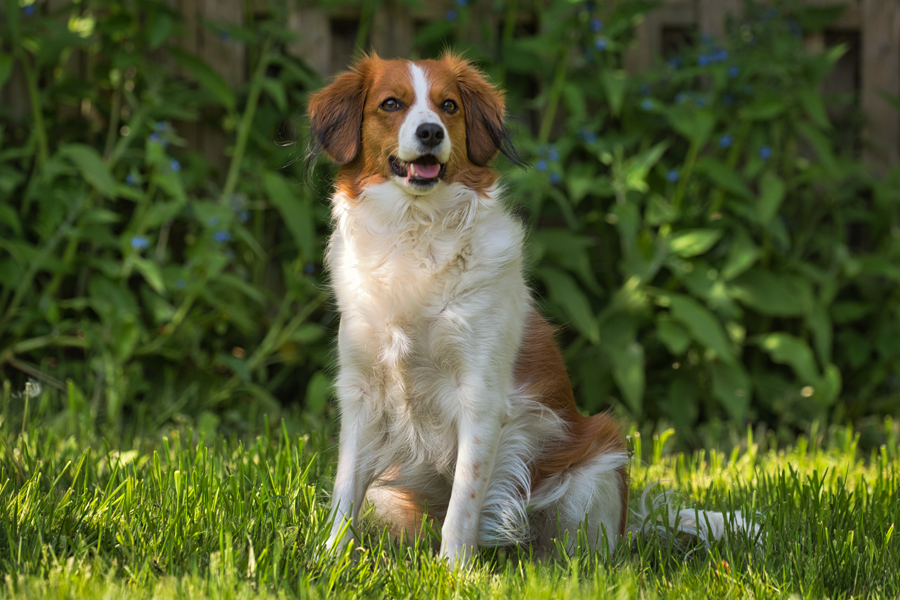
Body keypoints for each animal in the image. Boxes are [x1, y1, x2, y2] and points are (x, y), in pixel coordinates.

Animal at [308, 51, 752, 568]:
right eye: (391, 104)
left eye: (448, 106)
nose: (431, 133)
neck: (415, 233)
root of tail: (633, 530)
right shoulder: (360, 390)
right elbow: (346, 490)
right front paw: (328, 558)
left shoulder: (479, 395)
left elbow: (463, 502)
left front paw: (453, 571)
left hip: (597, 465)